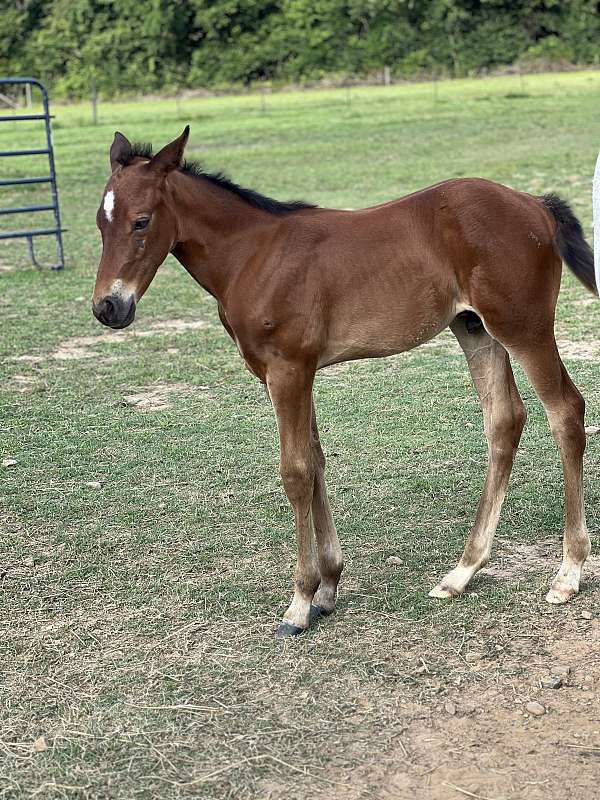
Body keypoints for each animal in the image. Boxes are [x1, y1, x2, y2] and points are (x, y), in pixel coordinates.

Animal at [92, 127, 597, 637]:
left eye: (141, 221)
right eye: (100, 223)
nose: (108, 308)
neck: (253, 255)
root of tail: (535, 203)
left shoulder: (288, 370)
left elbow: (296, 472)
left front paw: (299, 603)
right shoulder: (297, 372)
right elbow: (315, 462)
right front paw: (329, 588)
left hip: (523, 328)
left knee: (566, 413)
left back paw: (568, 573)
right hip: (476, 329)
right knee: (504, 421)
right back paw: (462, 572)